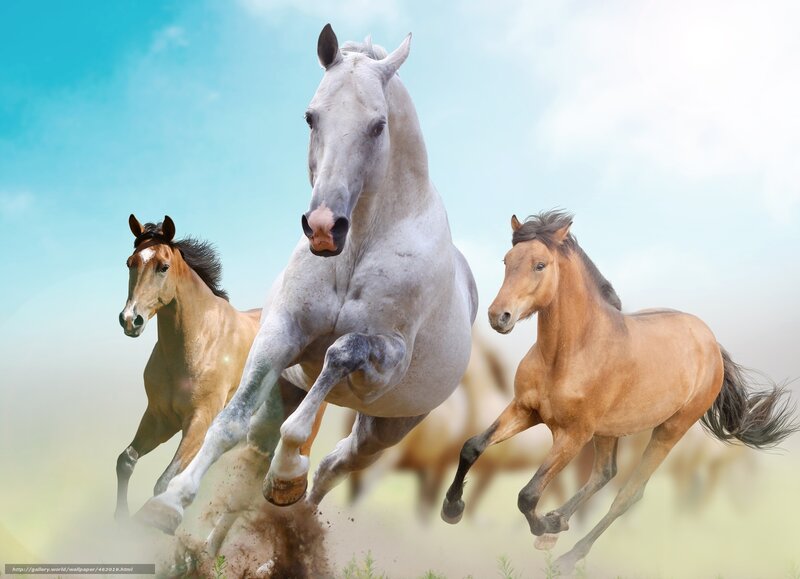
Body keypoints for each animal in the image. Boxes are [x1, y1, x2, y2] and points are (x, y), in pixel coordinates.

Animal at [117, 215, 325, 555]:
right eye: (130, 262)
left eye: (163, 266)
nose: (130, 319)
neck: (199, 340)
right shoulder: (160, 418)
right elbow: (126, 461)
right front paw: (119, 522)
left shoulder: (200, 421)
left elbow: (164, 481)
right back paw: (208, 550)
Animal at [136, 24, 477, 537]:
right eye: (311, 117)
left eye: (378, 125)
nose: (323, 227)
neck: (357, 249)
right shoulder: (281, 333)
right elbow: (230, 422)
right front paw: (170, 503)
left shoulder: (385, 360)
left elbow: (338, 356)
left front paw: (286, 474)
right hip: (289, 390)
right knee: (256, 458)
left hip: (384, 428)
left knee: (335, 466)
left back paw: (291, 503)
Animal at [441, 210, 796, 572]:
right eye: (507, 260)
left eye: (539, 265)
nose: (498, 316)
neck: (569, 353)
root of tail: (711, 343)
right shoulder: (525, 410)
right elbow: (472, 447)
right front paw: (452, 509)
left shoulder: (573, 434)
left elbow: (528, 494)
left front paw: (545, 525)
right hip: (610, 430)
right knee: (604, 473)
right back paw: (558, 524)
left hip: (669, 430)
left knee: (628, 494)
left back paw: (567, 554)